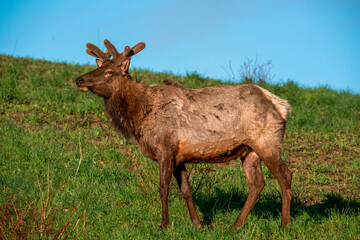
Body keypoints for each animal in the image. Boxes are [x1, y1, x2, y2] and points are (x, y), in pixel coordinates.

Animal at [75, 39, 292, 229]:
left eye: (109, 71)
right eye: (98, 66)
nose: (79, 79)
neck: (139, 115)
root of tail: (283, 106)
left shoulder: (165, 146)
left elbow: (163, 187)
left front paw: (163, 224)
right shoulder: (179, 155)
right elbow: (185, 190)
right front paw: (197, 223)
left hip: (267, 141)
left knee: (285, 175)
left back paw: (284, 223)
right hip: (248, 149)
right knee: (257, 183)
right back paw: (236, 225)